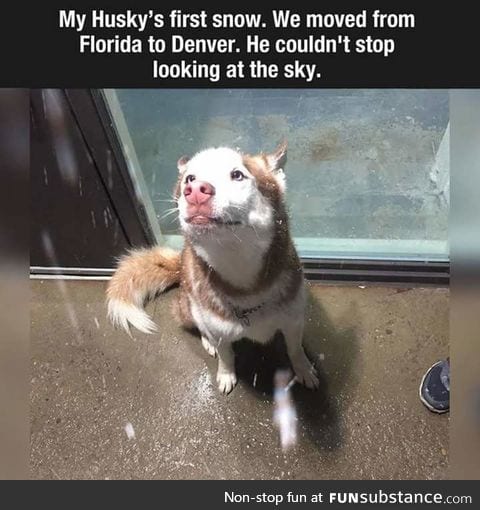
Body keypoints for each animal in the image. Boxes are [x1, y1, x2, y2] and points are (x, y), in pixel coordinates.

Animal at [107, 143, 320, 394]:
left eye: (237, 174)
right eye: (190, 178)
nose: (195, 190)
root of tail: (180, 264)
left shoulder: (293, 321)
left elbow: (295, 349)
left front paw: (304, 369)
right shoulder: (220, 332)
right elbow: (226, 355)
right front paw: (226, 374)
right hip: (188, 308)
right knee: (200, 327)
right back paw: (207, 342)